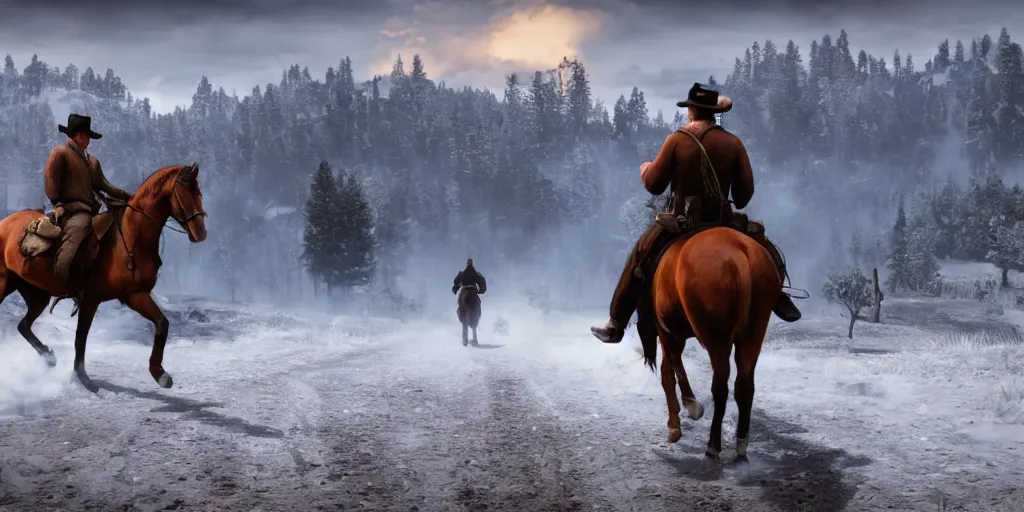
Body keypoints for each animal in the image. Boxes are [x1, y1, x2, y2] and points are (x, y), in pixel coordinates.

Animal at [0, 162, 207, 391]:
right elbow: (81, 337)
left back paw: (49, 356)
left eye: (198, 192)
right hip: (4, 284)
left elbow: (162, 323)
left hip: (38, 295)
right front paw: (84, 378)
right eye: (184, 191)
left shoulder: (134, 294)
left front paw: (159, 374)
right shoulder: (91, 299)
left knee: (23, 325)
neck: (130, 239)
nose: (200, 233)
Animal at [638, 226, 774, 462]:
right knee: (744, 384)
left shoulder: (667, 331)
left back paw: (713, 445)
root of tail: (741, 253)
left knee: (720, 386)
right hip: (754, 332)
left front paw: (686, 411)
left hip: (715, 338)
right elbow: (669, 370)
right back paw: (741, 444)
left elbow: (670, 372)